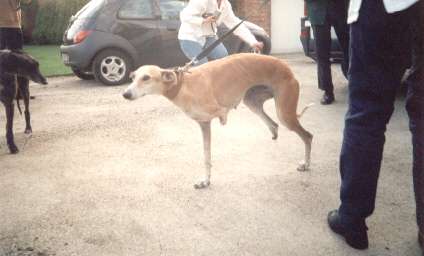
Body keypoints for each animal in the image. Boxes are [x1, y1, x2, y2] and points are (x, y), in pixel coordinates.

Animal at [121, 53, 312, 188]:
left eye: (146, 77)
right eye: (133, 77)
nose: (125, 94)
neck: (183, 85)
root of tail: (286, 67)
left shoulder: (216, 113)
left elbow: (222, 116)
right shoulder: (204, 124)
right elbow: (206, 156)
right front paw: (205, 181)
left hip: (284, 112)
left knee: (307, 136)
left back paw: (306, 164)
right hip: (252, 102)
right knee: (274, 124)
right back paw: (274, 133)